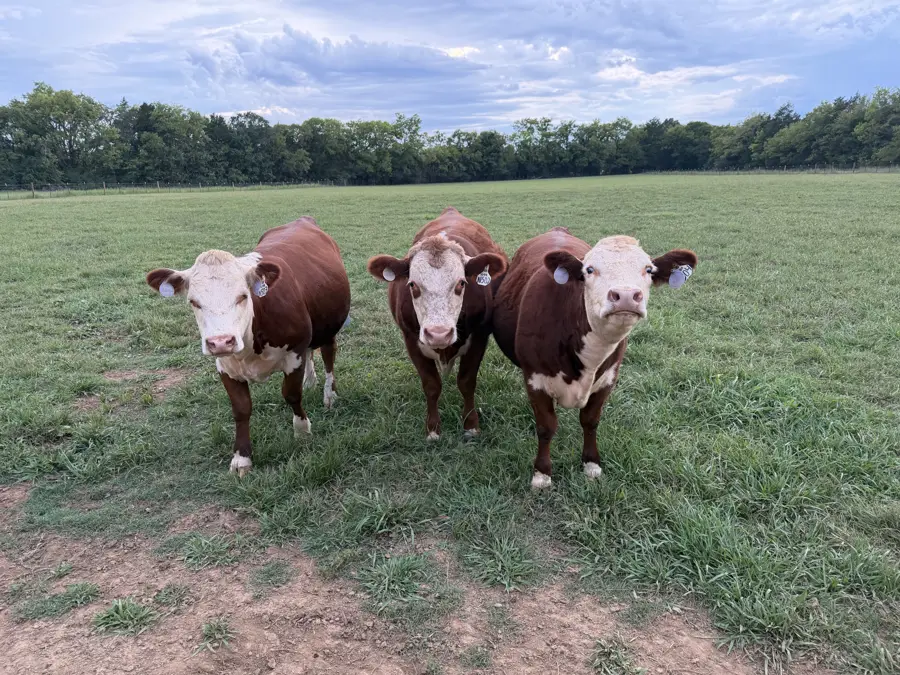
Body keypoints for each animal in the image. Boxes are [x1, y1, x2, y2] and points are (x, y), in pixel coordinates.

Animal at [145, 217, 351, 477]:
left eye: (243, 296)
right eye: (194, 302)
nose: (221, 341)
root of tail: (302, 220)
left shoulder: (294, 352)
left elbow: (292, 395)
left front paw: (303, 432)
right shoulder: (224, 365)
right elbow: (241, 408)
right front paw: (242, 458)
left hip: (330, 324)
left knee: (328, 353)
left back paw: (329, 394)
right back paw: (310, 379)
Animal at [367, 207, 508, 440]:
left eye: (461, 283)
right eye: (412, 285)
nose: (438, 334)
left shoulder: (480, 336)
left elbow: (467, 382)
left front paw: (471, 425)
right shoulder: (411, 339)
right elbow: (431, 385)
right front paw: (433, 429)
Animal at [492, 227, 697, 489]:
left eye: (648, 269)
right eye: (589, 270)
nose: (626, 295)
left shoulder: (608, 378)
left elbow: (590, 421)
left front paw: (591, 465)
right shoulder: (535, 378)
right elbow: (546, 426)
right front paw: (542, 475)